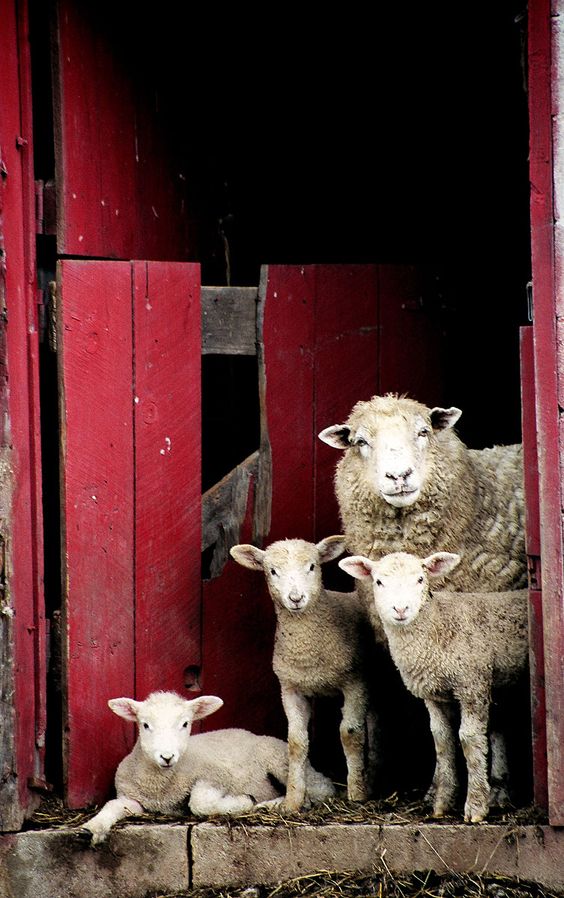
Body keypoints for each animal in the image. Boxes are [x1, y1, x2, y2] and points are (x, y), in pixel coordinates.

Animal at [79, 688, 334, 844]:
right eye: (145, 725)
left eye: (185, 724)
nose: (167, 756)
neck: (161, 784)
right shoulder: (133, 799)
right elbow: (112, 806)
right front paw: (92, 828)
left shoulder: (214, 777)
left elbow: (199, 803)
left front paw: (244, 801)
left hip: (279, 759)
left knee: (322, 789)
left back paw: (272, 804)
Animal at [229, 536, 378, 808]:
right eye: (272, 571)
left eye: (312, 566)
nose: (296, 598)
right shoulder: (291, 688)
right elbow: (296, 742)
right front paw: (292, 801)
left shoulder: (355, 683)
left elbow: (350, 734)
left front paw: (356, 793)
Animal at [340, 548, 528, 824]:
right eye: (379, 582)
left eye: (420, 579)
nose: (401, 609)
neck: (436, 624)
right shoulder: (433, 694)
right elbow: (442, 740)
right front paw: (442, 803)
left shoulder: (472, 684)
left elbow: (469, 740)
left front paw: (475, 806)